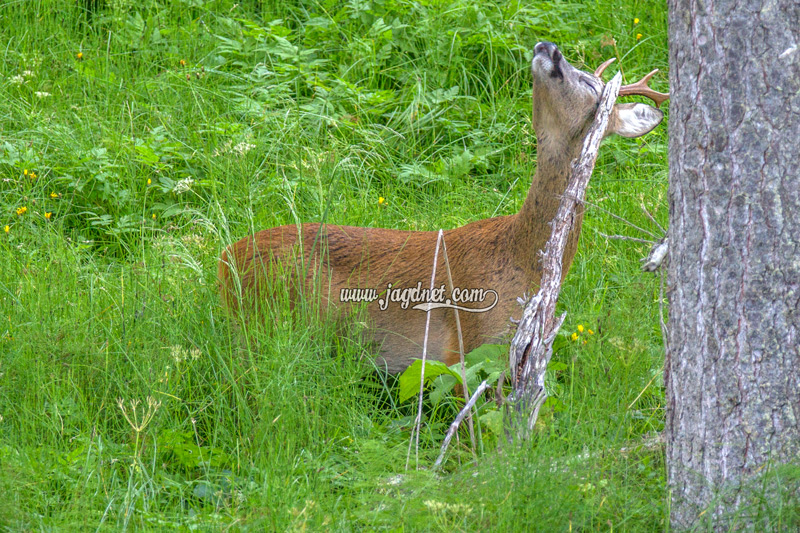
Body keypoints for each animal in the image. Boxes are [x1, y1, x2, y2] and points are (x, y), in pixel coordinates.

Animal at [219, 42, 668, 370]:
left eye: (591, 86)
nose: (549, 47)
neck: (522, 262)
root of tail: (225, 259)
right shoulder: (466, 342)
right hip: (263, 323)